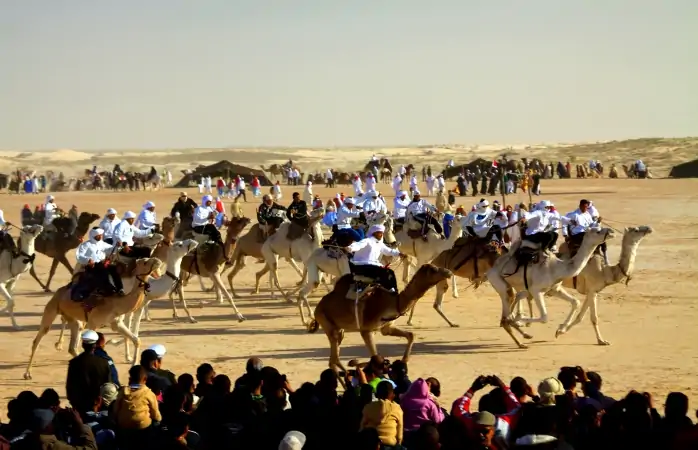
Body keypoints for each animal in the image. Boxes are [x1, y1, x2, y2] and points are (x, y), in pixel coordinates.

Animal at [23, 256, 163, 380]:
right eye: (145, 262)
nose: (158, 261)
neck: (116, 304)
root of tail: (60, 291)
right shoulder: (93, 323)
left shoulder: (116, 323)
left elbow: (136, 340)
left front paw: (133, 364)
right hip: (51, 309)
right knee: (38, 338)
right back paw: (27, 374)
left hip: (74, 320)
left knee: (72, 346)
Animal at [306, 264, 452, 376]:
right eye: (433, 269)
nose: (448, 271)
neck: (394, 302)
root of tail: (318, 307)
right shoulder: (366, 329)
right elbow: (375, 356)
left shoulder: (386, 328)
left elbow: (411, 335)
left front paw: (404, 361)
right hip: (327, 323)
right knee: (335, 358)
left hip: (338, 328)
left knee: (332, 360)